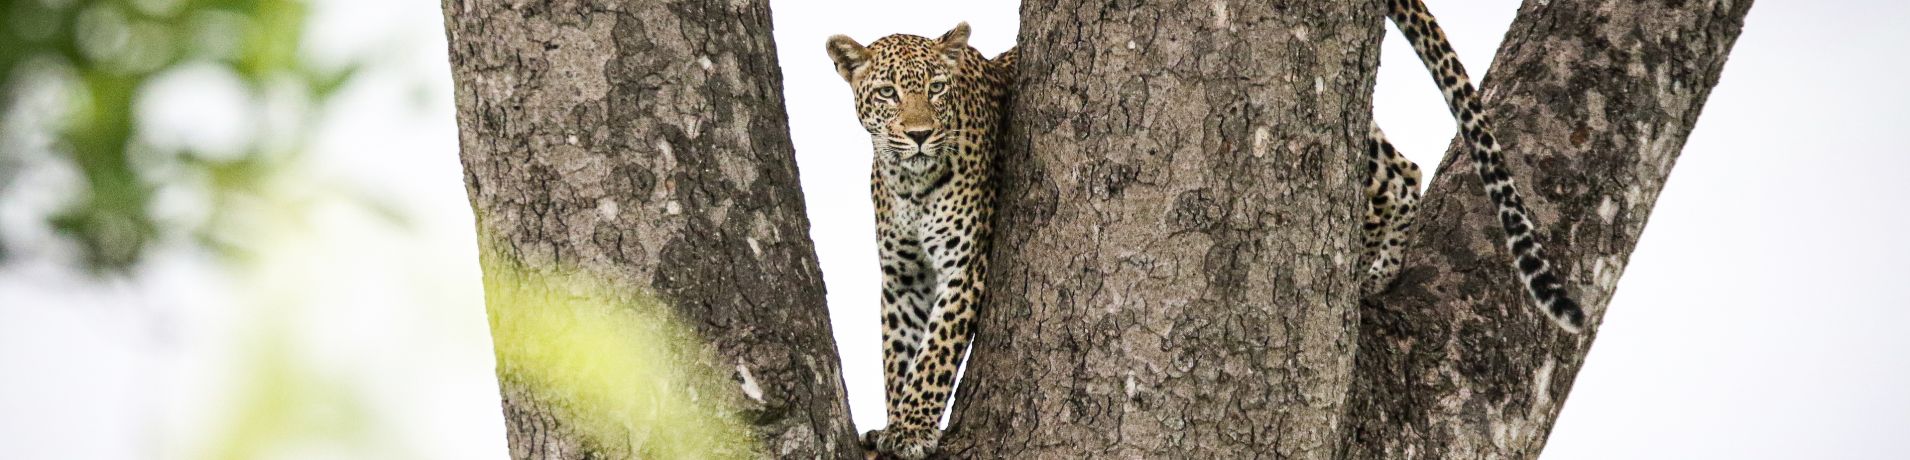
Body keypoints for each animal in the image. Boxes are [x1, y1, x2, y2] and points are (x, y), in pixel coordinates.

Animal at [825, 22, 1015, 460]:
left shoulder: (965, 264)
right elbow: (899, 353)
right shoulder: (903, 277)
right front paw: (894, 424)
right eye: (887, 92)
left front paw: (912, 429)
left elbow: (935, 350)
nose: (920, 135)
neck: (912, 184)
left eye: (937, 88)